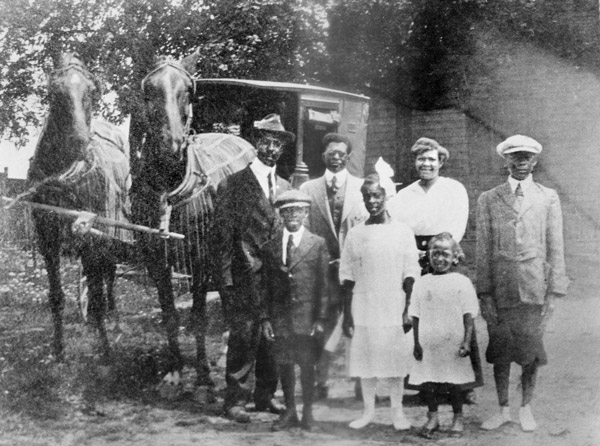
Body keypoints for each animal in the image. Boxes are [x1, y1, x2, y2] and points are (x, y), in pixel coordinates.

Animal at [27, 53, 131, 362]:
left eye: (91, 91)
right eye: (53, 92)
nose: (78, 143)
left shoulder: (93, 236)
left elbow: (96, 292)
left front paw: (106, 350)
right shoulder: (47, 237)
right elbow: (56, 295)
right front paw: (60, 350)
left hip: (109, 234)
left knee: (108, 274)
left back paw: (113, 318)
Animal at [130, 50, 254, 396]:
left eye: (187, 90)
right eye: (149, 90)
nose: (171, 145)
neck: (169, 185)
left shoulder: (200, 256)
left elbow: (198, 315)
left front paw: (202, 375)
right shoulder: (156, 258)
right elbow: (170, 315)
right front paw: (174, 370)